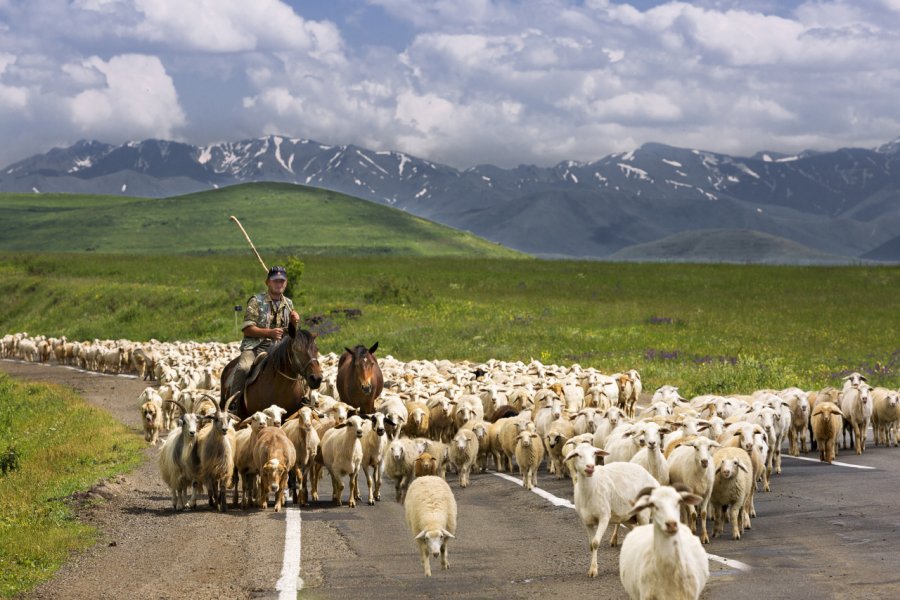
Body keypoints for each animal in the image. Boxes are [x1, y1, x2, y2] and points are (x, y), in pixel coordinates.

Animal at [568, 442, 656, 580]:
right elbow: (590, 545)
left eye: (594, 453)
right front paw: (592, 569)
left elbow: (595, 543)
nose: (590, 467)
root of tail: (650, 476)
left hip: (643, 514)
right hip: (628, 517)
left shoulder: (604, 516)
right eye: (577, 454)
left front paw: (594, 570)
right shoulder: (587, 521)